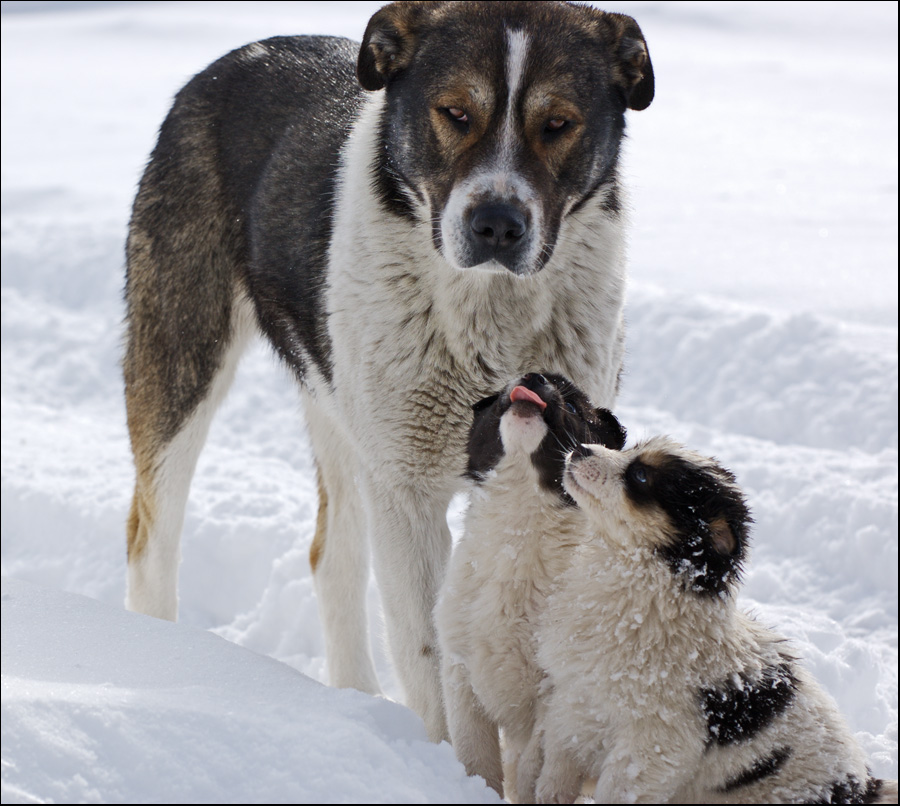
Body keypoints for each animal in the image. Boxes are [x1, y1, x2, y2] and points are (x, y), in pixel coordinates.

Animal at [121, 1, 652, 744]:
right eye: (455, 112)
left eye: (557, 123)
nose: (496, 224)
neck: (488, 316)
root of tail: (234, 59)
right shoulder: (407, 489)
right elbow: (431, 653)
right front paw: (450, 761)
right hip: (184, 364)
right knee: (153, 534)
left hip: (340, 404)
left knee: (332, 557)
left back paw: (356, 700)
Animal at [432, 374, 624, 800]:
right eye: (507, 385)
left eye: (573, 405)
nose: (532, 378)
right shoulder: (460, 673)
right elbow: (477, 762)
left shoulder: (551, 699)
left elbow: (527, 774)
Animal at [532, 442, 896, 806]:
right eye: (631, 449)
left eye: (641, 475)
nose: (581, 449)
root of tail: (865, 788)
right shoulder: (575, 701)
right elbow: (557, 768)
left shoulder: (654, 741)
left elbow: (617, 790)